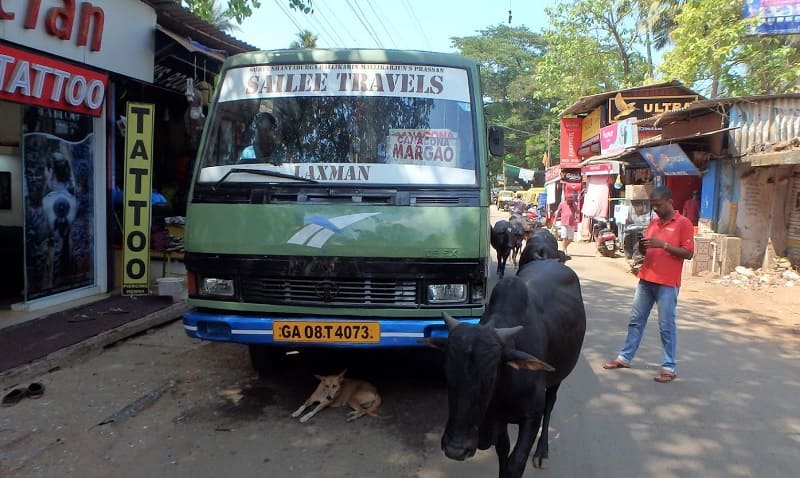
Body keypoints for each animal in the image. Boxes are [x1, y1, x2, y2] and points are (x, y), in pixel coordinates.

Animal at [424, 256, 588, 476]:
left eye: (490, 376)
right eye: (447, 374)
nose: (455, 449)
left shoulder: (532, 417)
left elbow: (515, 463)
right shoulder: (499, 417)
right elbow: (503, 450)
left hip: (558, 377)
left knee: (550, 406)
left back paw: (542, 453)